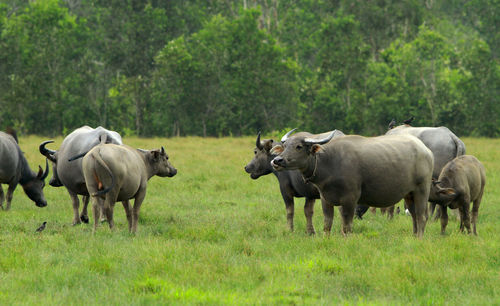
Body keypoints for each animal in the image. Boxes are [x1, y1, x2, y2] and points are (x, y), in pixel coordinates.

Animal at [270, 130, 434, 238]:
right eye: (285, 146)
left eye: (298, 146)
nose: (277, 160)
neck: (330, 162)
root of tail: (426, 151)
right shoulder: (325, 198)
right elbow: (327, 222)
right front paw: (326, 238)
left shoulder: (350, 198)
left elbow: (347, 224)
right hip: (409, 194)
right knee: (414, 215)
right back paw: (414, 236)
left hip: (422, 190)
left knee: (422, 215)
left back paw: (419, 238)